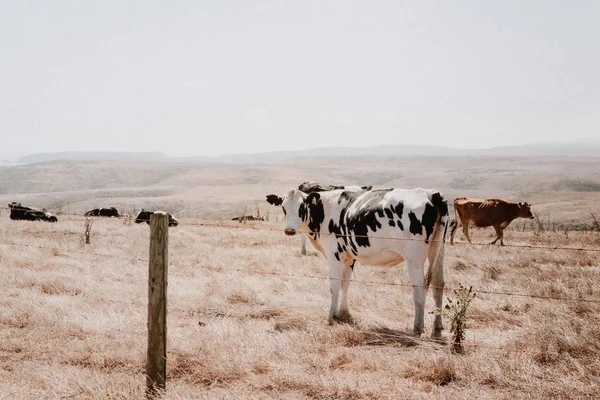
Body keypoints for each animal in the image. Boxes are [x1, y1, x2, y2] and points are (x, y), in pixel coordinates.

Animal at [266, 188, 446, 338]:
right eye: (283, 207)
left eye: (302, 207)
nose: (289, 230)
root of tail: (430, 193)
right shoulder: (349, 257)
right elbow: (345, 283)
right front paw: (344, 313)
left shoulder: (335, 255)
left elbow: (334, 286)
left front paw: (331, 317)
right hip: (438, 252)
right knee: (438, 286)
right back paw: (436, 330)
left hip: (414, 258)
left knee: (419, 290)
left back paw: (417, 329)